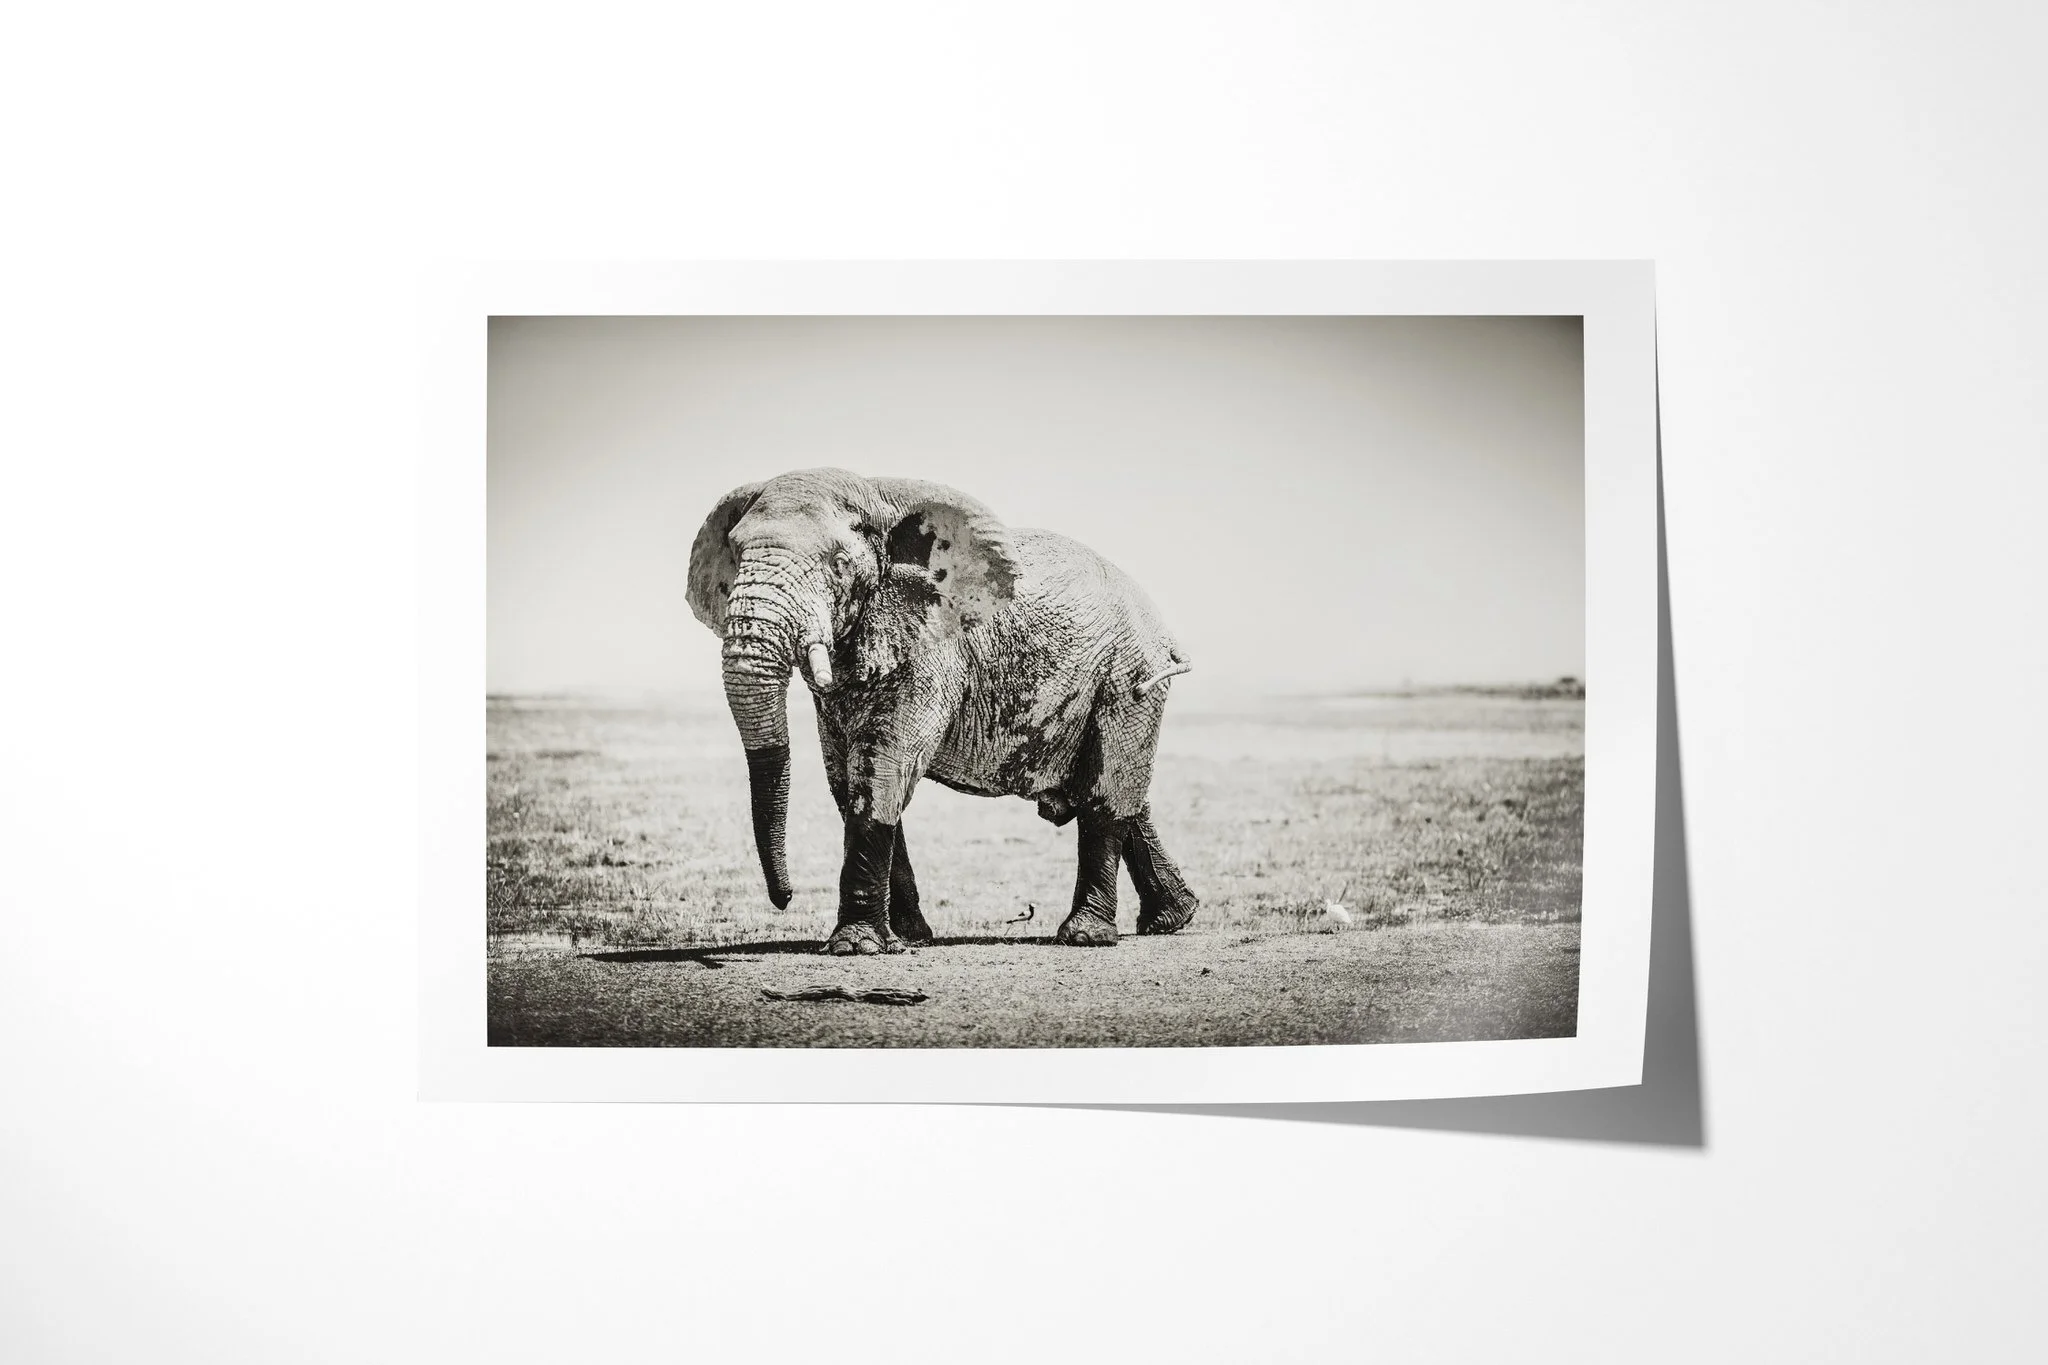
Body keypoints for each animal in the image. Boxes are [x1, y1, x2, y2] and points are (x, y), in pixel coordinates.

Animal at [686, 467, 1200, 954]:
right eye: (735, 555)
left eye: (838, 565)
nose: (784, 899)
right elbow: (846, 778)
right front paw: (908, 940)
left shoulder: (933, 649)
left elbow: (884, 766)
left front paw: (855, 947)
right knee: (1121, 790)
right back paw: (1172, 919)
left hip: (1127, 677)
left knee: (1108, 792)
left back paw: (1086, 937)